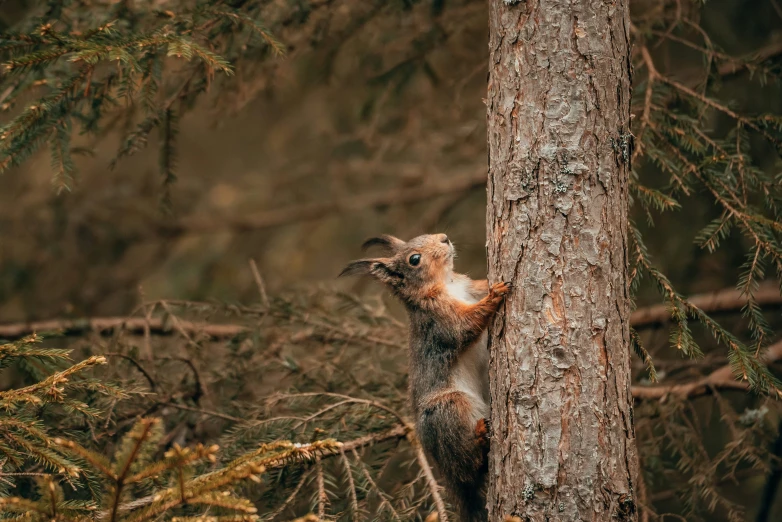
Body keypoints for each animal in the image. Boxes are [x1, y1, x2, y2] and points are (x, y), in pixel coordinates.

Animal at [340, 233, 512, 520]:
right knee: (470, 466)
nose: (444, 238)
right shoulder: (439, 320)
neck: (447, 283)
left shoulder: (470, 287)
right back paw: (478, 437)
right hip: (449, 409)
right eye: (414, 259)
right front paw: (495, 295)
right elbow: (465, 325)